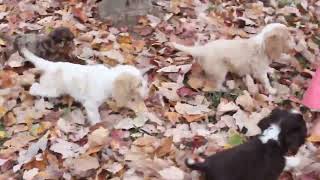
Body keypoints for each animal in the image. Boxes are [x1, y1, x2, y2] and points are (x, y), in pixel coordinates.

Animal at [20, 46, 149, 125]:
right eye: (139, 84)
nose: (146, 96)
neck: (108, 78)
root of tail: (51, 65)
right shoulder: (90, 104)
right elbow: (96, 118)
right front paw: (99, 127)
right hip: (52, 89)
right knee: (33, 88)